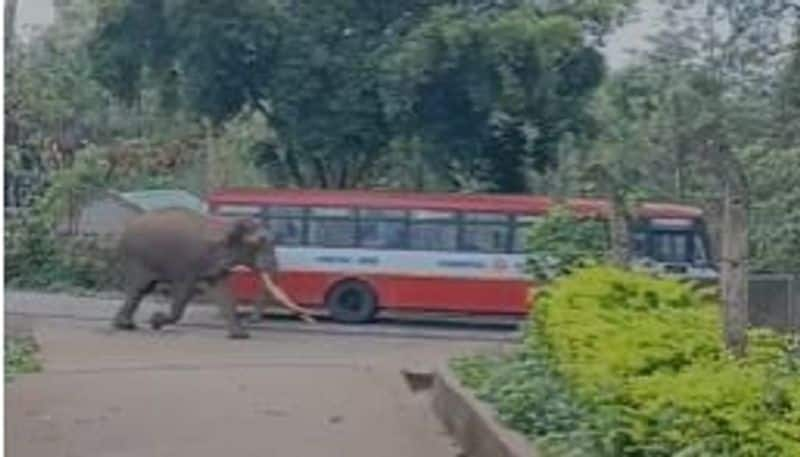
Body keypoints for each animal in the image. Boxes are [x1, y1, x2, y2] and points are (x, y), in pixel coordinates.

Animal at [111, 208, 312, 336]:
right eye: (259, 242)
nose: (252, 320)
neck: (226, 224)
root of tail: (124, 230)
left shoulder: (214, 266)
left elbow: (224, 292)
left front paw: (240, 335)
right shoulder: (188, 264)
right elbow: (183, 293)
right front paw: (155, 321)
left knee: (141, 291)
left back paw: (125, 325)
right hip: (136, 258)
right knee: (138, 289)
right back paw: (123, 325)